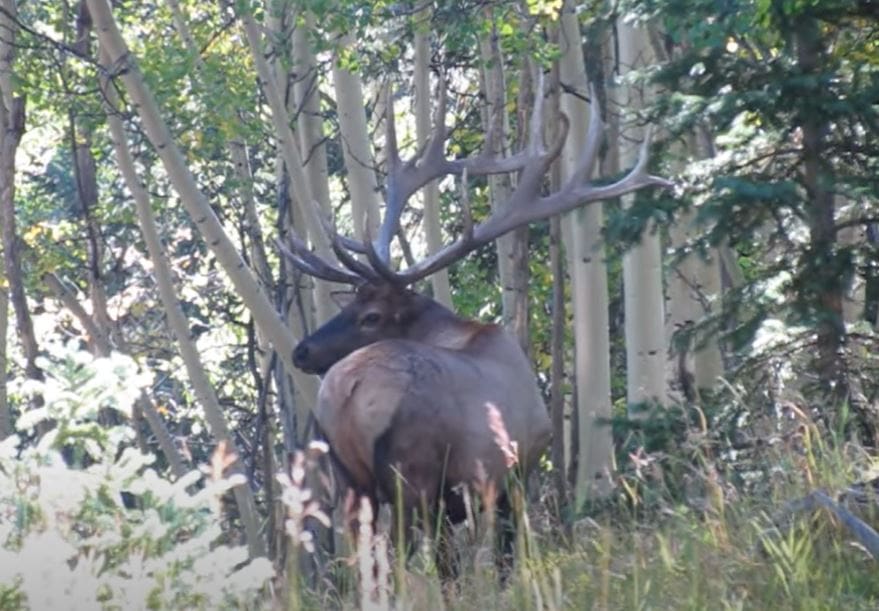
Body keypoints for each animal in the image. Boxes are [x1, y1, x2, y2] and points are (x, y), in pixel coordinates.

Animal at [280, 74, 668, 576]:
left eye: (370, 315)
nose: (302, 351)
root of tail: (346, 394)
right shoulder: (516, 470)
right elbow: (502, 558)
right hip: (413, 476)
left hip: (354, 484)